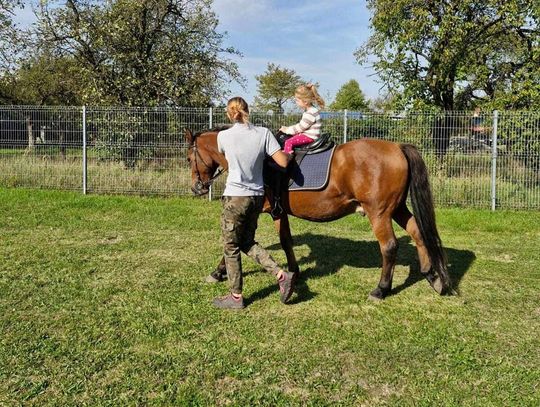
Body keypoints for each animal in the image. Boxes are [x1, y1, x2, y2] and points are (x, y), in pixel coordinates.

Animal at [184, 129, 450, 302]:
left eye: (189, 158)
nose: (196, 188)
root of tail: (397, 147)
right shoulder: (278, 212)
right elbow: (286, 240)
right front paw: (294, 272)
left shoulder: (256, 211)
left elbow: (235, 241)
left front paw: (217, 272)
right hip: (397, 209)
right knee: (418, 233)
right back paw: (431, 276)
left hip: (380, 213)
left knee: (389, 247)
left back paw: (381, 289)